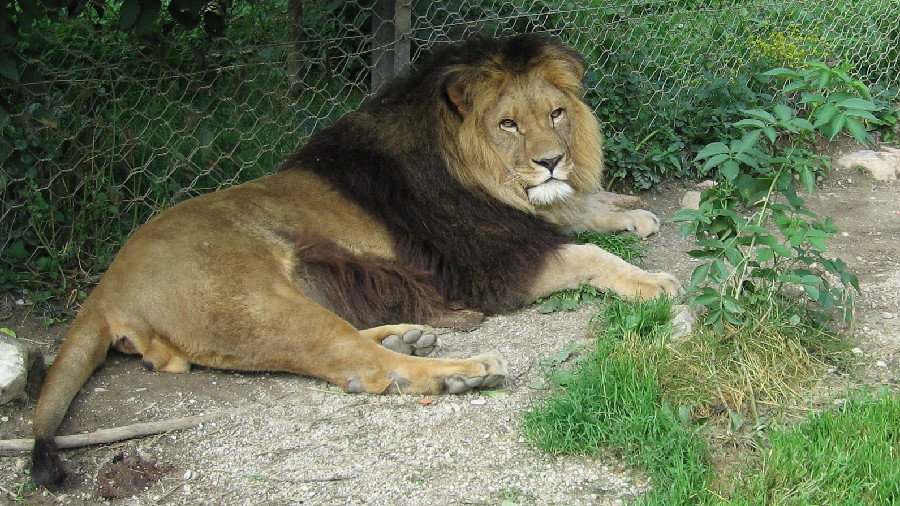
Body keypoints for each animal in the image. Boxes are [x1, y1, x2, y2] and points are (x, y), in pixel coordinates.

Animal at [30, 33, 680, 486]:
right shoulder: (492, 266)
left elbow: (579, 209)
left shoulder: (520, 219)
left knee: (356, 343)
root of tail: (107, 286)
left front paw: (628, 210)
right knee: (361, 366)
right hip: (255, 302)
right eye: (508, 124)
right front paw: (652, 279)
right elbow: (589, 253)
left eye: (556, 114)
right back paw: (462, 371)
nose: (551, 161)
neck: (472, 173)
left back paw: (412, 336)